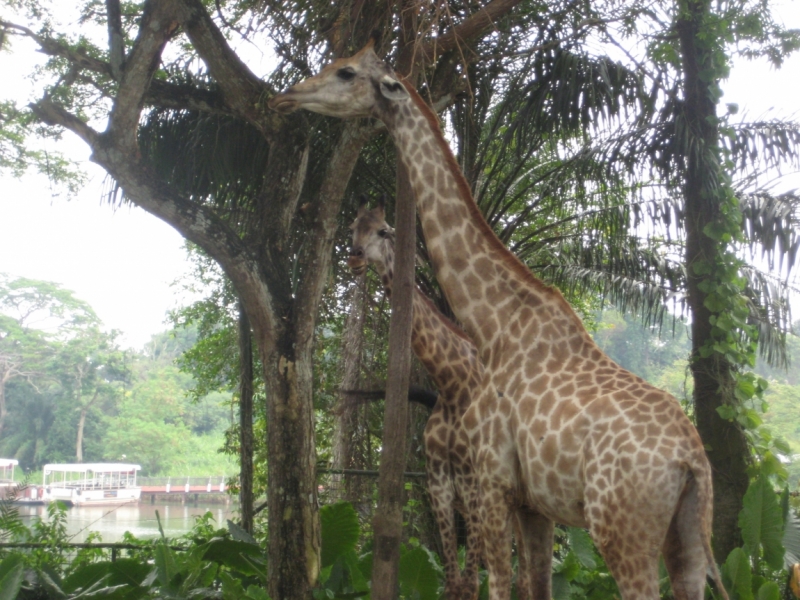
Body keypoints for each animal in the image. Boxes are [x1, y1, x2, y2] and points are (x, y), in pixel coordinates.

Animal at [350, 198, 532, 600]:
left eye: (383, 231)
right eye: (353, 227)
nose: (355, 257)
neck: (452, 387)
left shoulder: (474, 485)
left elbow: (470, 585)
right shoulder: (441, 489)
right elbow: (452, 583)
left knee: (522, 572)